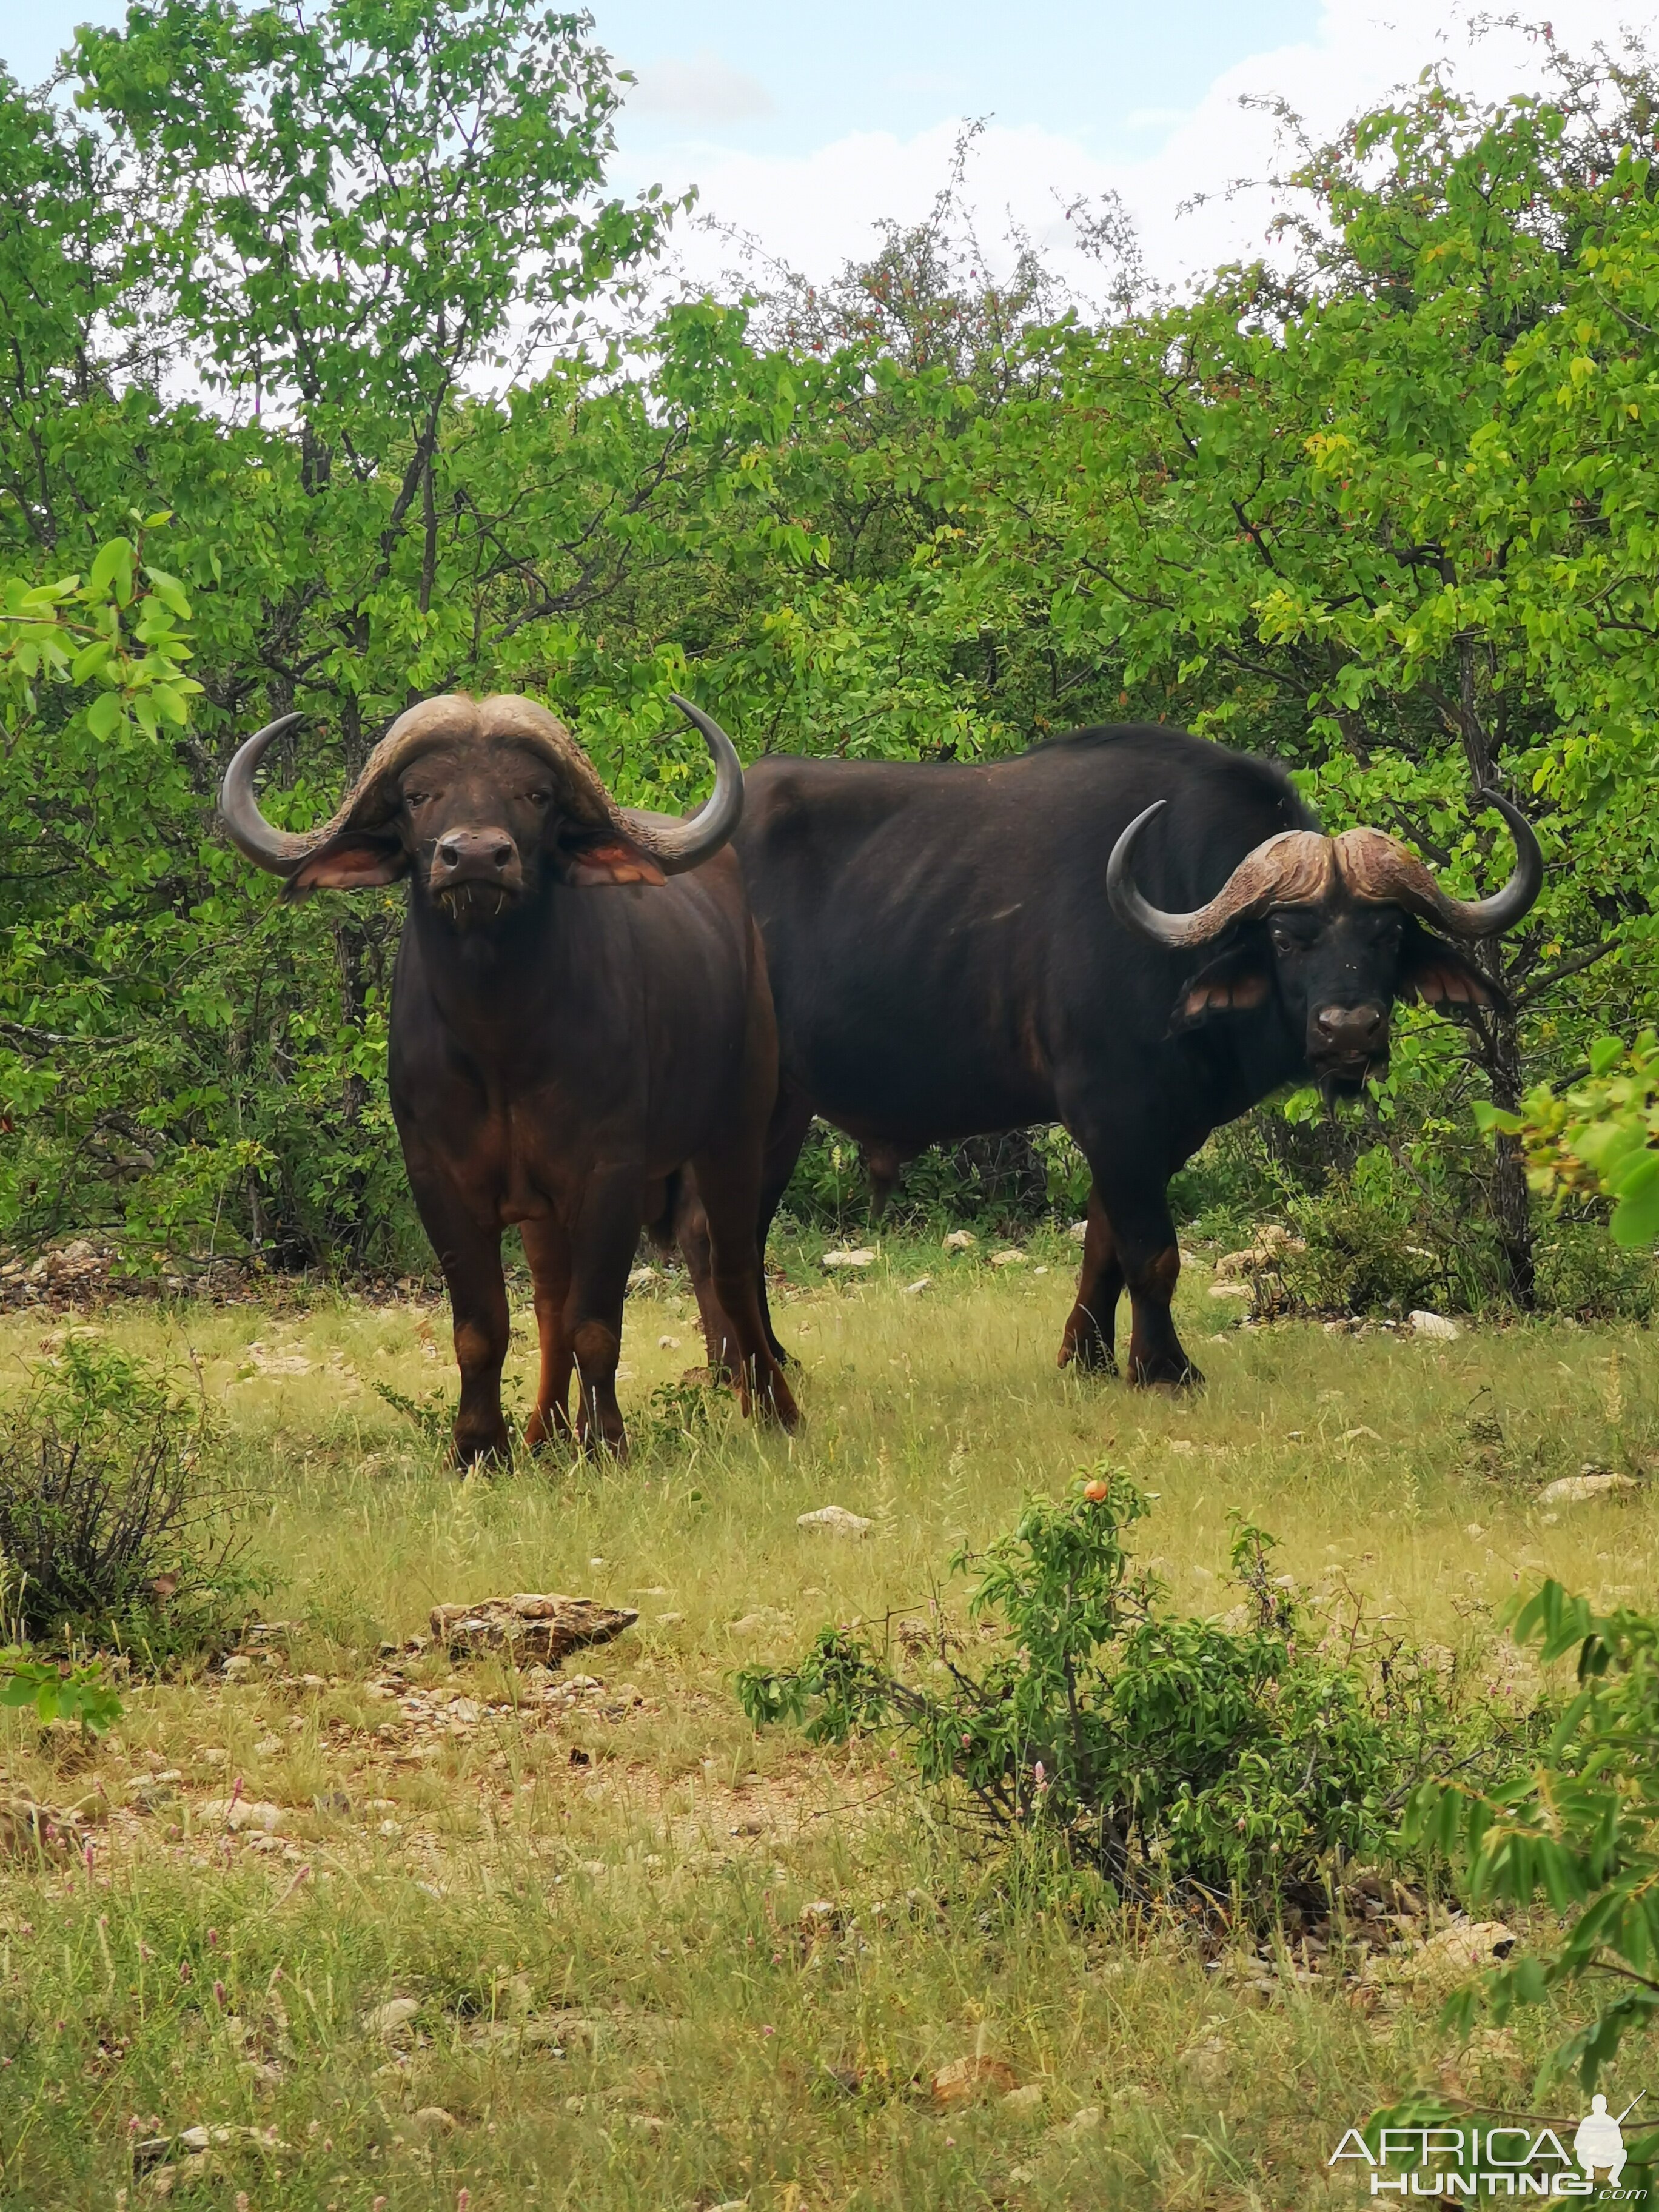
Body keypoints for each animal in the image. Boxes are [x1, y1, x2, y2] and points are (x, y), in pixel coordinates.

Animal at [222, 685, 800, 1451]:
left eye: (535, 794)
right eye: (418, 795)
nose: (474, 856)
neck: (501, 1041)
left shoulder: (610, 1172)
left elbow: (598, 1324)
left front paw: (606, 1440)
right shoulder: (439, 1177)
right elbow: (484, 1326)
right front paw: (480, 1446)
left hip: (737, 1133)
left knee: (731, 1269)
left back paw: (772, 1408)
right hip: (548, 1210)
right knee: (553, 1300)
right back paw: (545, 1430)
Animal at [685, 725, 1548, 1380]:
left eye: (1388, 934)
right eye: (1284, 935)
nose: (1349, 1029)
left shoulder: (1160, 1127)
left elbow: (1103, 1244)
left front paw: (1092, 1357)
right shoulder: (1112, 1111)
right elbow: (1152, 1252)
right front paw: (1165, 1369)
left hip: (786, 1108)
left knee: (742, 1231)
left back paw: (774, 1358)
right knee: (710, 1229)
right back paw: (741, 1367)